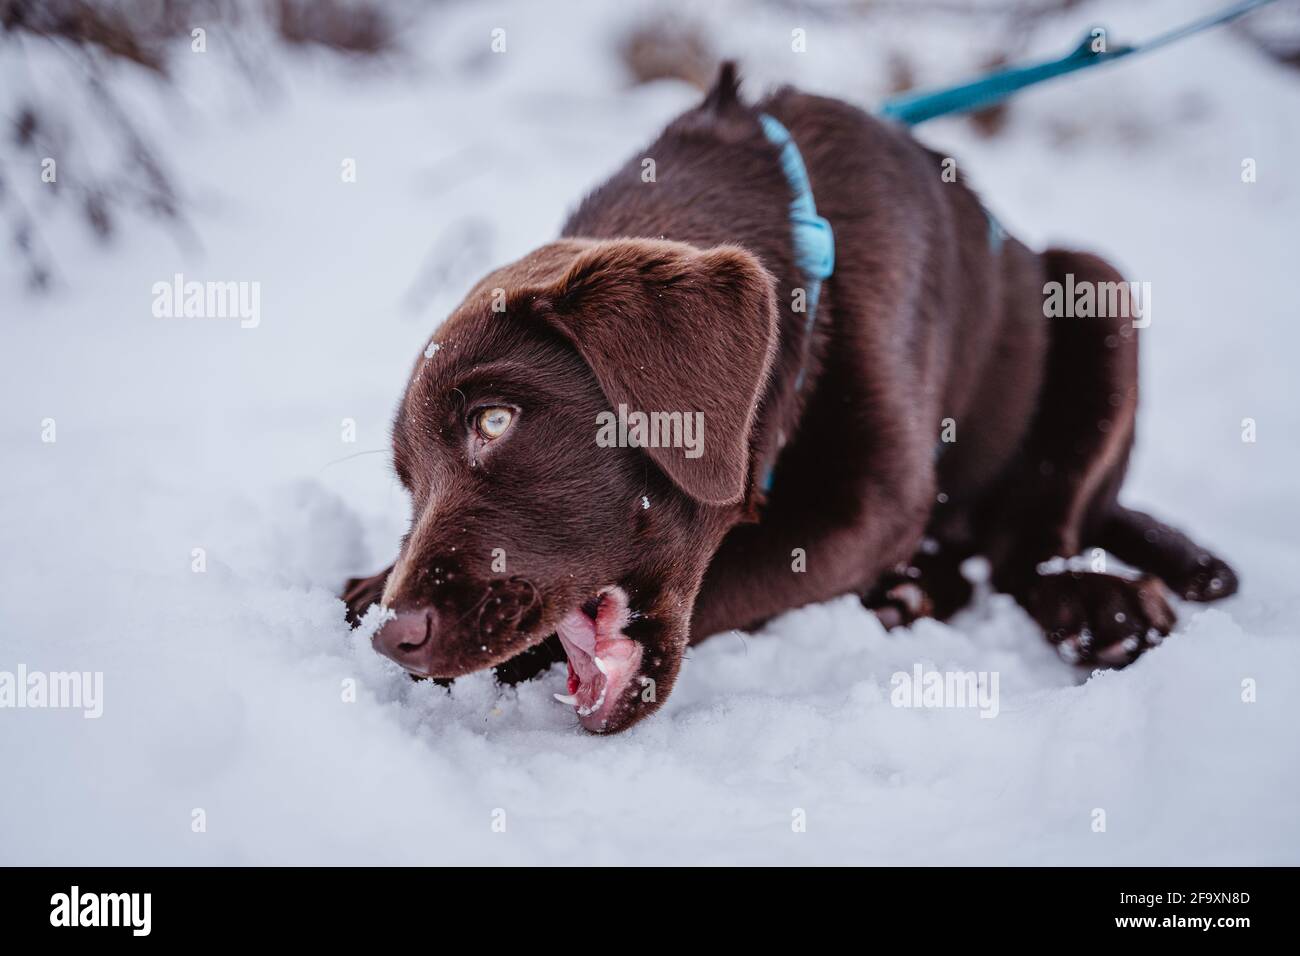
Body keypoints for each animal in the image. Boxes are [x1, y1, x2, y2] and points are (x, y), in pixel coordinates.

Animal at [340, 67, 1232, 738]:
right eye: (407, 482)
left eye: (493, 420)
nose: (394, 638)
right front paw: (367, 586)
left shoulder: (868, 505)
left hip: (1098, 290)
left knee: (1031, 546)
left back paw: (1098, 605)